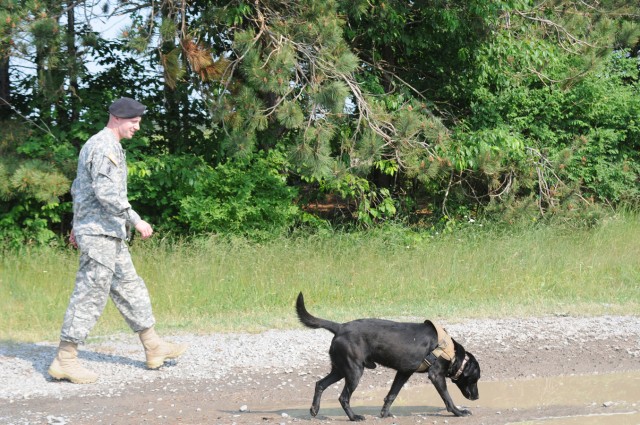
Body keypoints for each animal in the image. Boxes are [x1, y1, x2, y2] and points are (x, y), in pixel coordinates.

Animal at [296, 290, 480, 420]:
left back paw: (314, 409)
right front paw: (458, 412)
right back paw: (354, 417)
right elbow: (447, 398)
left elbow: (392, 394)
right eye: (475, 379)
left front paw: (384, 413)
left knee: (320, 384)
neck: (452, 353)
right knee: (343, 397)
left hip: (341, 369)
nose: (477, 397)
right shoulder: (436, 375)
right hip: (354, 371)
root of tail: (340, 327)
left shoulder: (404, 372)